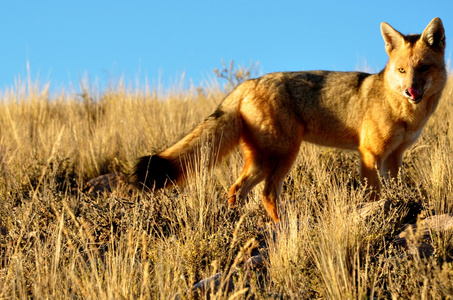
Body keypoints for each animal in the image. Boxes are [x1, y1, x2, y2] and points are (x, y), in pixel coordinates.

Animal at [132, 17, 446, 223]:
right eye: (402, 70)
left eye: (423, 68)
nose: (412, 91)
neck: (403, 112)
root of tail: (247, 83)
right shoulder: (369, 154)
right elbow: (375, 194)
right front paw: (380, 212)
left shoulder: (394, 157)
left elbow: (396, 188)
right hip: (284, 157)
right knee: (266, 195)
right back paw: (281, 226)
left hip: (263, 162)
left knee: (236, 190)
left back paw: (236, 223)